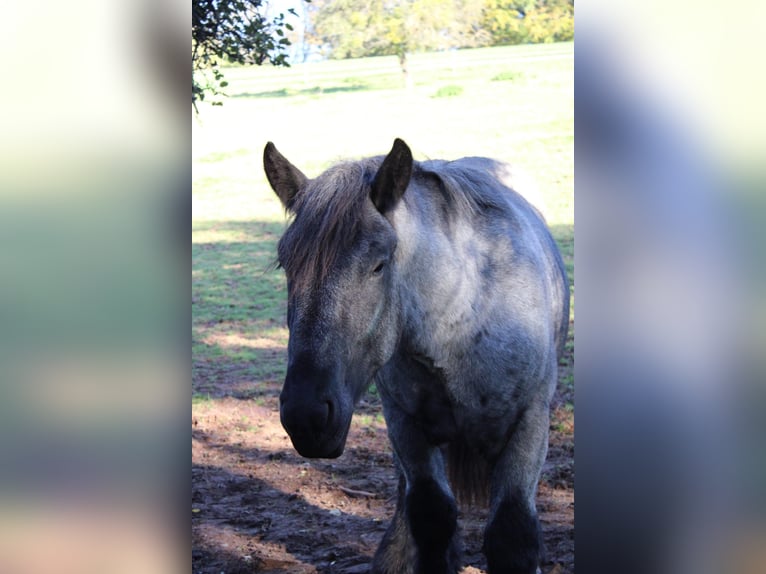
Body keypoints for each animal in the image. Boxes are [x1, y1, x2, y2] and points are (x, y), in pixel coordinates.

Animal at [264, 140, 568, 574]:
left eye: (379, 265)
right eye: (286, 264)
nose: (306, 416)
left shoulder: (529, 423)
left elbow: (513, 535)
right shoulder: (406, 425)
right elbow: (431, 516)